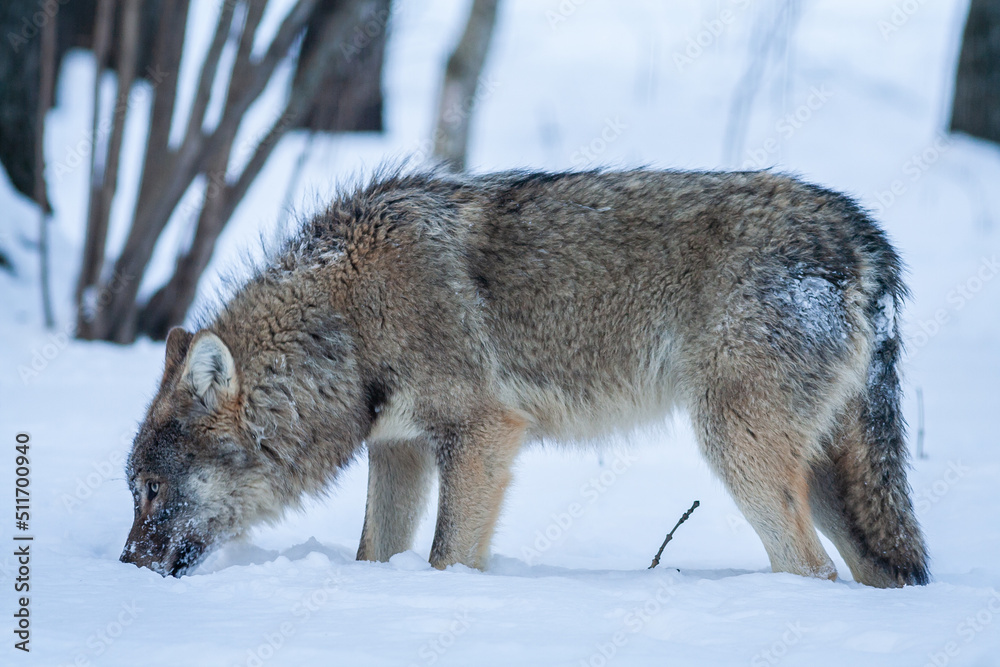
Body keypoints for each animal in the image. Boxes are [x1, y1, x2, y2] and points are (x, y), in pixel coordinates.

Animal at [120, 168, 929, 587]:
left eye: (152, 489)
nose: (126, 566)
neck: (348, 318)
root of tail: (864, 235)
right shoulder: (400, 450)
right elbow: (375, 553)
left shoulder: (483, 437)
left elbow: (447, 557)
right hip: (825, 480)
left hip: (737, 450)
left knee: (811, 569)